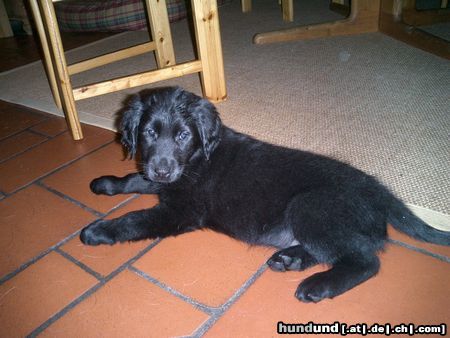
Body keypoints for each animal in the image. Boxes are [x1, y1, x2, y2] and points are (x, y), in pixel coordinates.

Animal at [81, 86, 450, 302]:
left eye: (184, 135)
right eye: (148, 133)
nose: (162, 169)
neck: (198, 156)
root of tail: (381, 192)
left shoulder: (180, 210)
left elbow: (133, 219)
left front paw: (98, 231)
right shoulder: (163, 179)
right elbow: (135, 179)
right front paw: (107, 183)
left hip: (309, 205)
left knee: (365, 259)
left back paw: (318, 286)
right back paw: (291, 259)